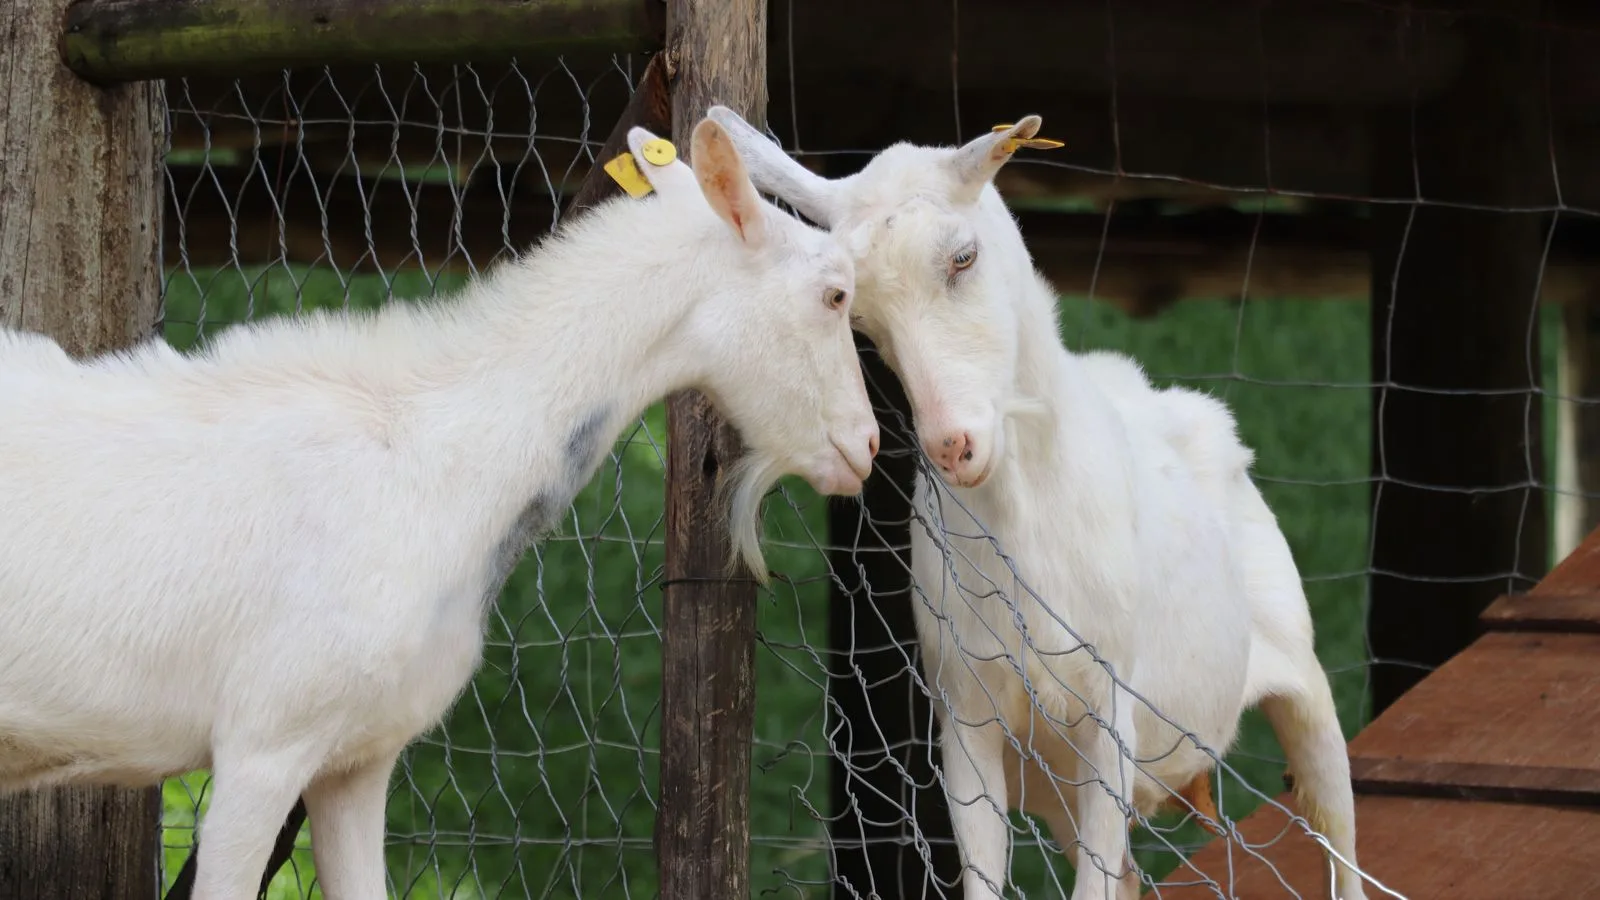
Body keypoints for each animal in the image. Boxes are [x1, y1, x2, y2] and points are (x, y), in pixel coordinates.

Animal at [708, 106, 1369, 900]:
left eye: (963, 258)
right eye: (856, 315)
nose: (952, 443)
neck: (1020, 520)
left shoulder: (1110, 716)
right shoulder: (966, 721)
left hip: (1301, 679)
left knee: (1339, 838)